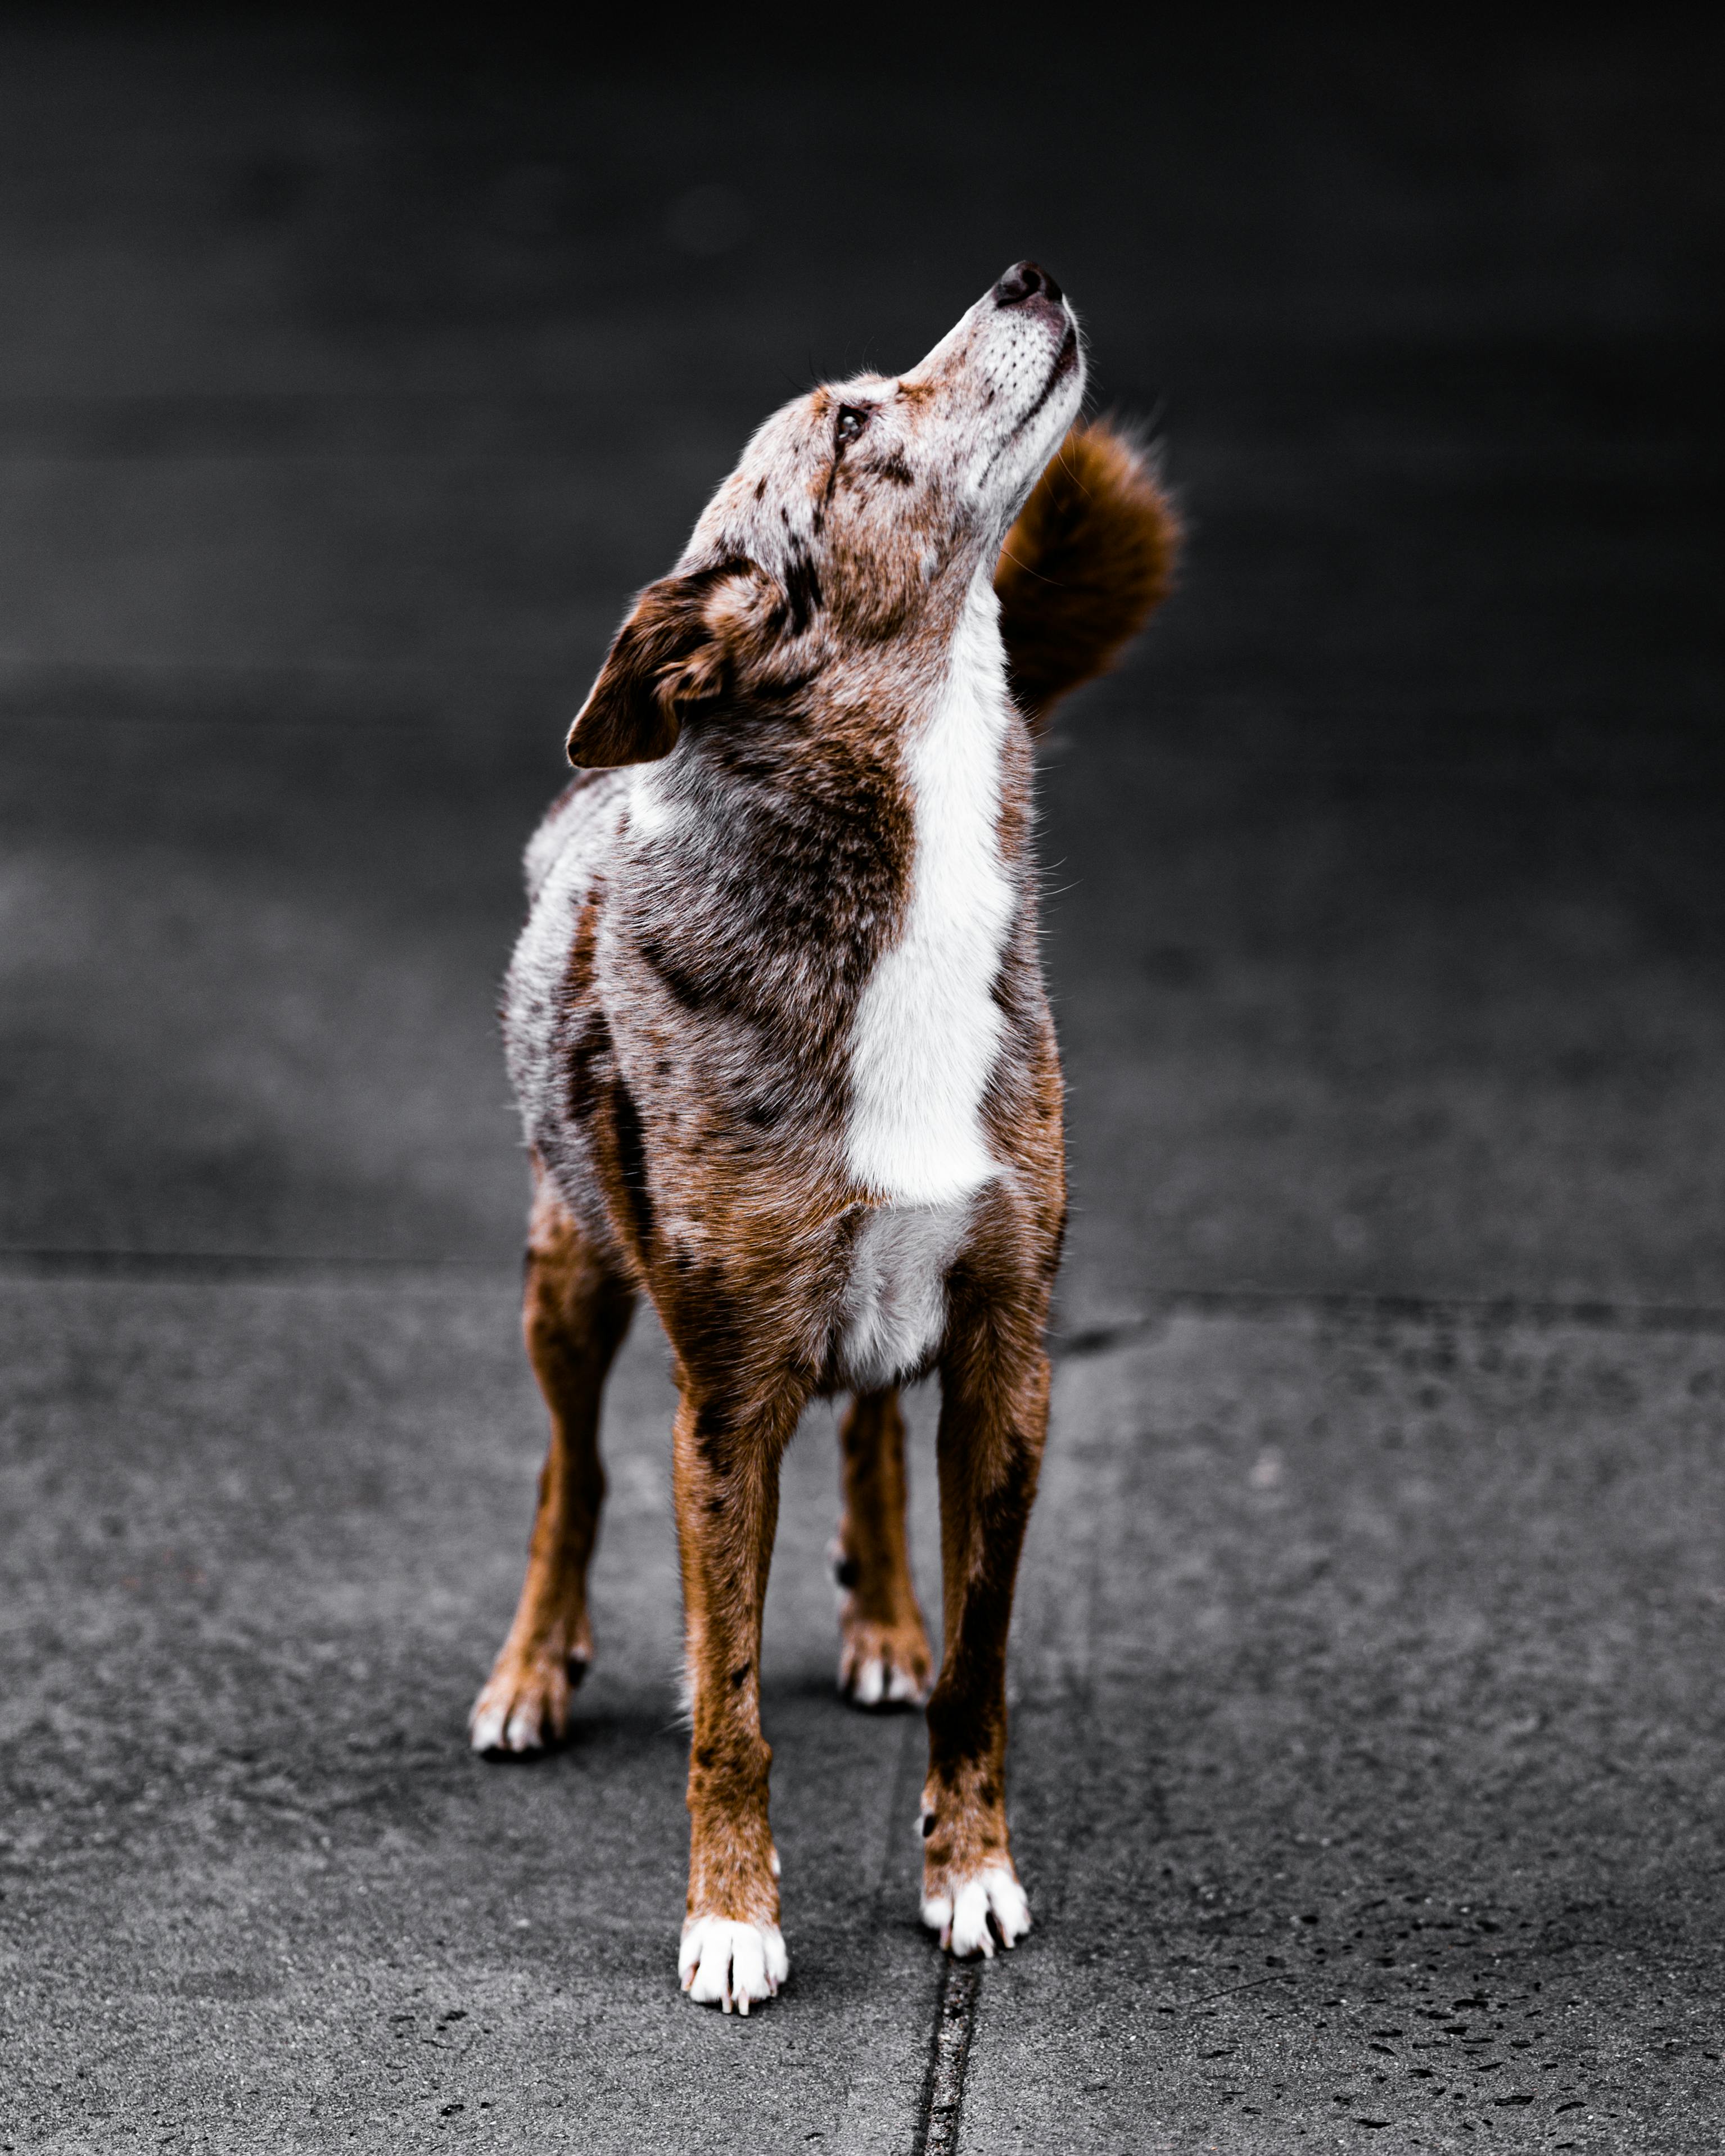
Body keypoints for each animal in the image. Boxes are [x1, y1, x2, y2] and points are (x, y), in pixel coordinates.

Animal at [466, 261, 1181, 2009]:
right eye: (854, 424)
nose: (1026, 273)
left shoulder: (1007, 1347)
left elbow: (982, 1668)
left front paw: (967, 1868)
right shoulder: (726, 1399)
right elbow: (722, 1696)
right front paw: (732, 1915)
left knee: (867, 1426)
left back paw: (883, 1623)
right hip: (567, 1272)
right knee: (571, 1465)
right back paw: (531, 1665)